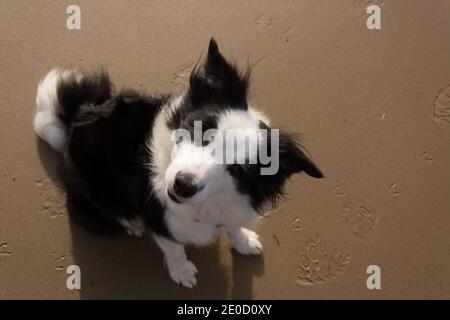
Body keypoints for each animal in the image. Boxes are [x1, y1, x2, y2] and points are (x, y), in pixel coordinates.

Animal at [35, 39, 324, 288]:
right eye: (203, 132)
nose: (182, 184)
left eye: (238, 170)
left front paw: (243, 240)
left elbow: (231, 224)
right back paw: (132, 223)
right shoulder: (156, 214)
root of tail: (73, 120)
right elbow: (174, 247)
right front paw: (182, 272)